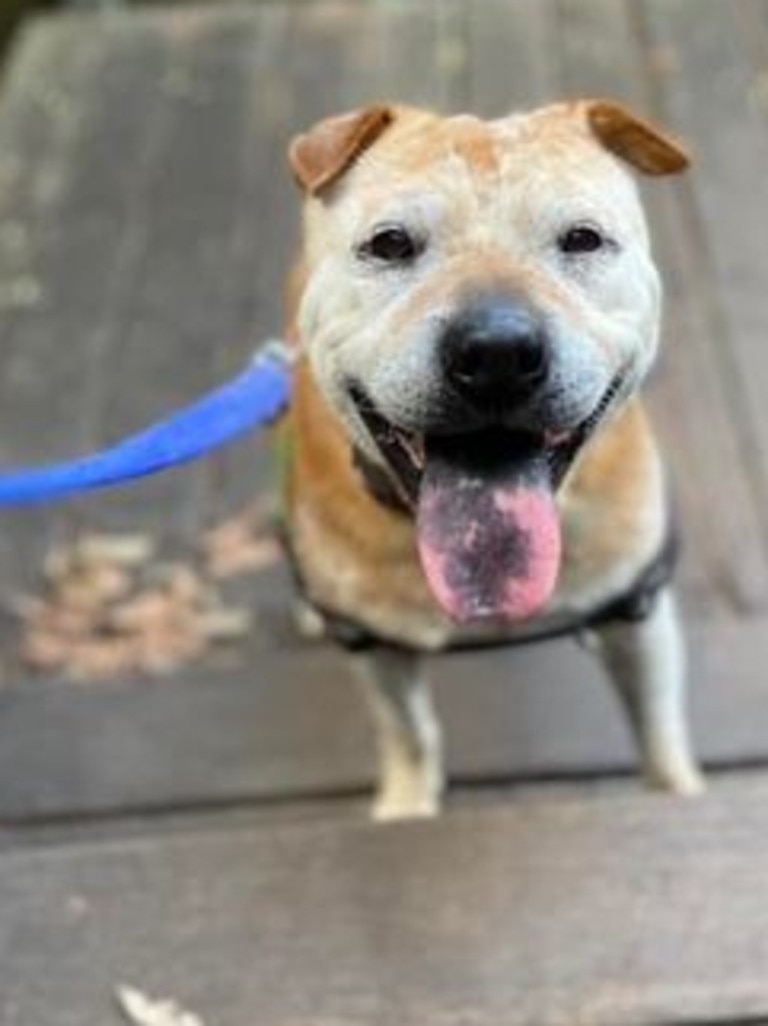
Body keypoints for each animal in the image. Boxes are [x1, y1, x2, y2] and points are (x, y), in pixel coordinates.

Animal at [278, 100, 705, 820]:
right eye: (389, 244)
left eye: (582, 239)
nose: (498, 354)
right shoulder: (380, 653)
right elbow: (408, 732)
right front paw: (406, 807)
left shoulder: (638, 614)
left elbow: (659, 728)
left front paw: (679, 790)